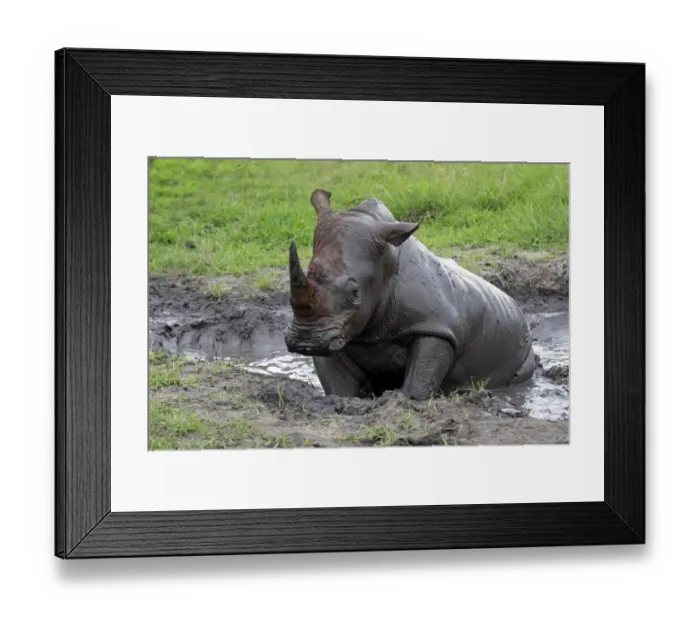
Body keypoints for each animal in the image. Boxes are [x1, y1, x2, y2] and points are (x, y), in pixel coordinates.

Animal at [284, 189, 536, 401]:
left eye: (355, 293)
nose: (305, 341)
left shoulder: (436, 325)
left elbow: (419, 378)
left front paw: (404, 401)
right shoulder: (334, 331)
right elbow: (337, 385)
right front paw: (342, 401)